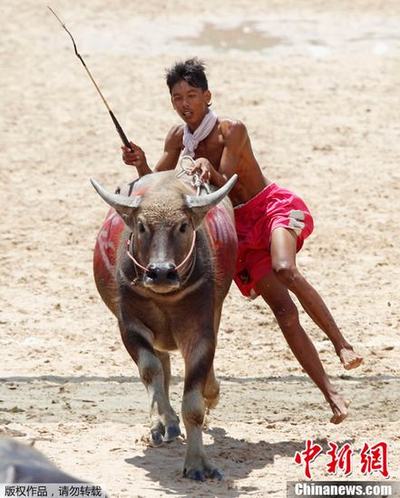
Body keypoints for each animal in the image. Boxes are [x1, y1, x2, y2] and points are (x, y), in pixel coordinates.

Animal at [91, 170, 238, 478]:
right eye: (142, 226)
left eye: (182, 226)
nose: (160, 272)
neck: (165, 296)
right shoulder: (129, 326)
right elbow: (150, 369)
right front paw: (160, 421)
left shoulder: (201, 332)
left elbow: (194, 404)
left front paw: (198, 463)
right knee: (162, 364)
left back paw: (210, 392)